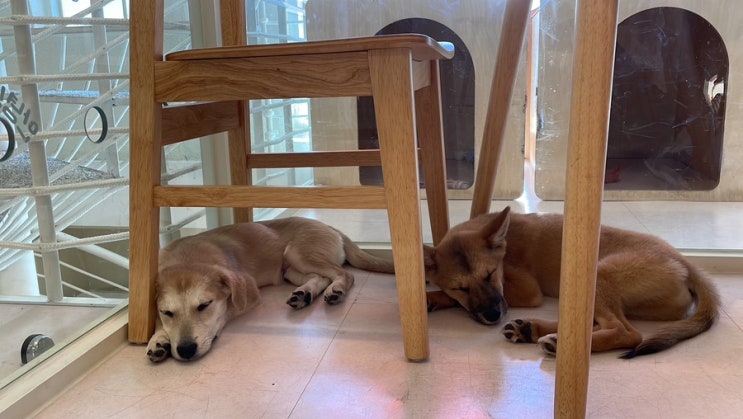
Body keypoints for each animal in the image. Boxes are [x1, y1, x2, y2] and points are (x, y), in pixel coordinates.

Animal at [146, 217, 394, 362]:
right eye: (167, 312)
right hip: (291, 270)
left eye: (204, 305)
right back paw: (304, 295)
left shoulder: (249, 293)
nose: (186, 350)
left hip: (299, 253)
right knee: (320, 277)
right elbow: (158, 322)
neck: (187, 256)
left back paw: (336, 290)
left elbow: (225, 313)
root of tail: (330, 226)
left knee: (345, 274)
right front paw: (158, 339)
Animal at [422, 206, 720, 358]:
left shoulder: (526, 291)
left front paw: (433, 297)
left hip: (598, 273)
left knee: (626, 332)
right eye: (461, 287)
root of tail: (685, 262)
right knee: (592, 325)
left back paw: (556, 342)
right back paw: (532, 330)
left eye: (490, 274)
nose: (493, 315)